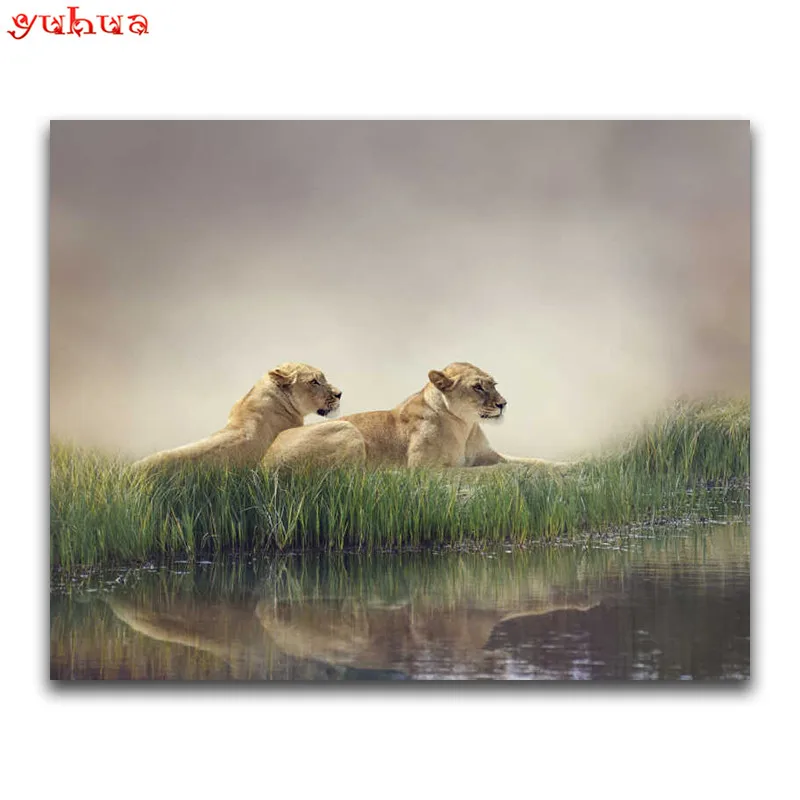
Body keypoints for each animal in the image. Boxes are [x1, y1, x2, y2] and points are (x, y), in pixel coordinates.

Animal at [264, 361, 557, 469]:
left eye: (493, 384)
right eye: (477, 387)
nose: (503, 404)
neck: (465, 426)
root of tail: (265, 458)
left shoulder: (491, 454)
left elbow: (534, 461)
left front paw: (565, 465)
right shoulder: (425, 468)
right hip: (347, 430)